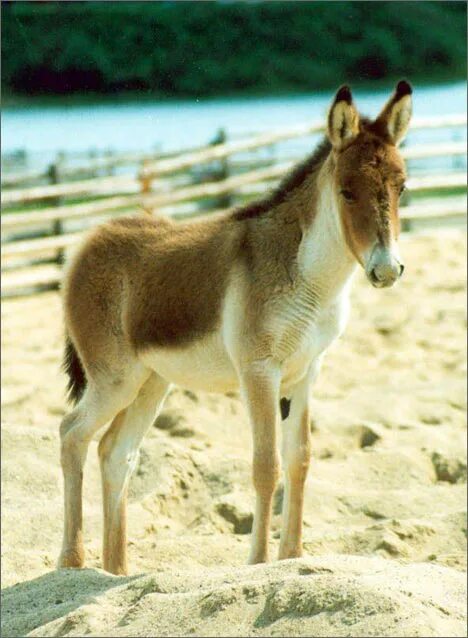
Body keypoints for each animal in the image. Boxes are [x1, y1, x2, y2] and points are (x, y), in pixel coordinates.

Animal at [59, 80, 414, 576]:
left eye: (402, 187)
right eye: (346, 192)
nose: (387, 270)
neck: (307, 277)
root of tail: (87, 243)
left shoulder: (306, 371)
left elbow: (300, 459)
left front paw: (293, 557)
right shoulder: (259, 369)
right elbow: (266, 465)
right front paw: (259, 561)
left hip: (151, 382)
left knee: (114, 452)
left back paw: (114, 572)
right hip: (115, 379)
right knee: (71, 433)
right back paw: (71, 564)